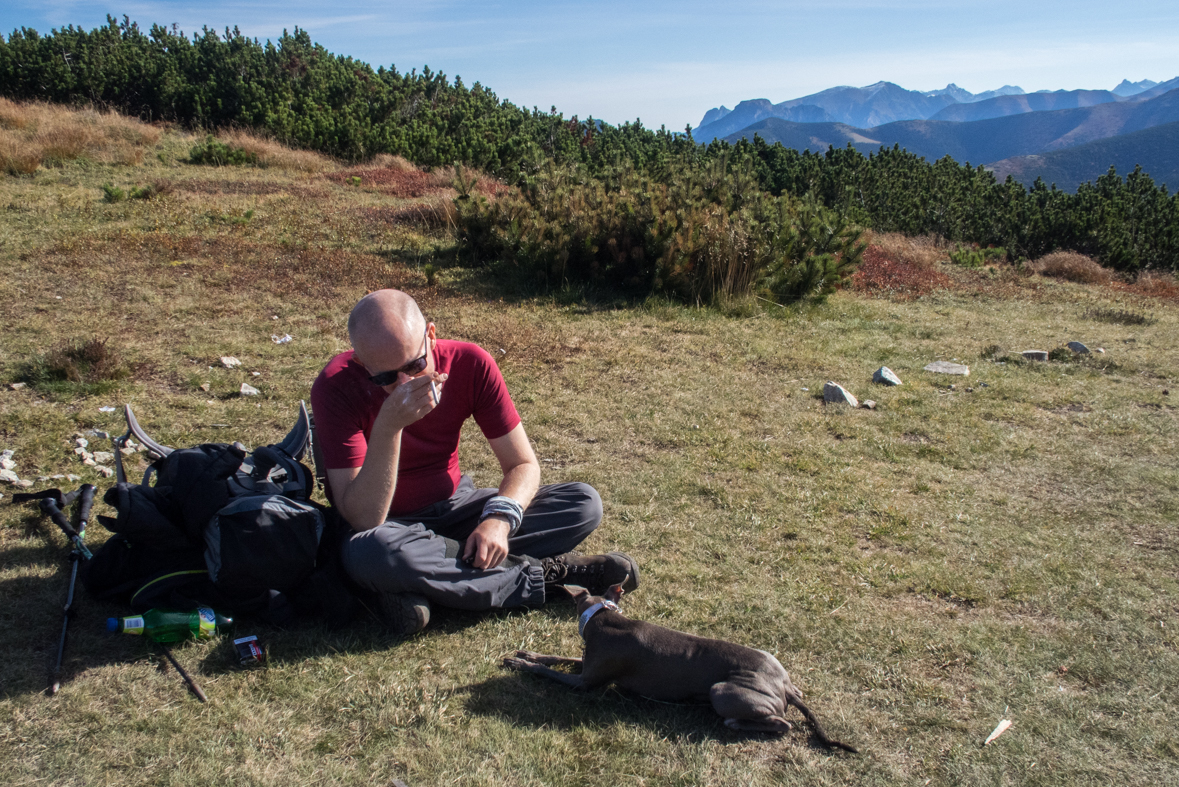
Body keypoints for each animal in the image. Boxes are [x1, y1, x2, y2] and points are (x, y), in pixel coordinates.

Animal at [504, 582, 858, 754]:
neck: (604, 616)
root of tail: (784, 686)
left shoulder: (585, 682)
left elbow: (550, 671)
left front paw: (519, 663)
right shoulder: (591, 664)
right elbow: (556, 657)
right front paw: (527, 652)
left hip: (724, 691)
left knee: (782, 724)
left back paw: (736, 723)